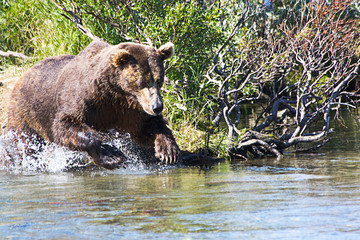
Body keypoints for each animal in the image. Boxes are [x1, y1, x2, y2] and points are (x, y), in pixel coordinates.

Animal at [7, 40, 183, 169]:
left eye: (159, 80)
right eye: (142, 82)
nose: (157, 107)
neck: (116, 93)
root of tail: (24, 74)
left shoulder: (130, 110)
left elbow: (146, 127)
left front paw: (168, 151)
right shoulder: (85, 100)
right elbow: (65, 125)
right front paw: (112, 155)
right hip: (26, 115)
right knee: (23, 145)